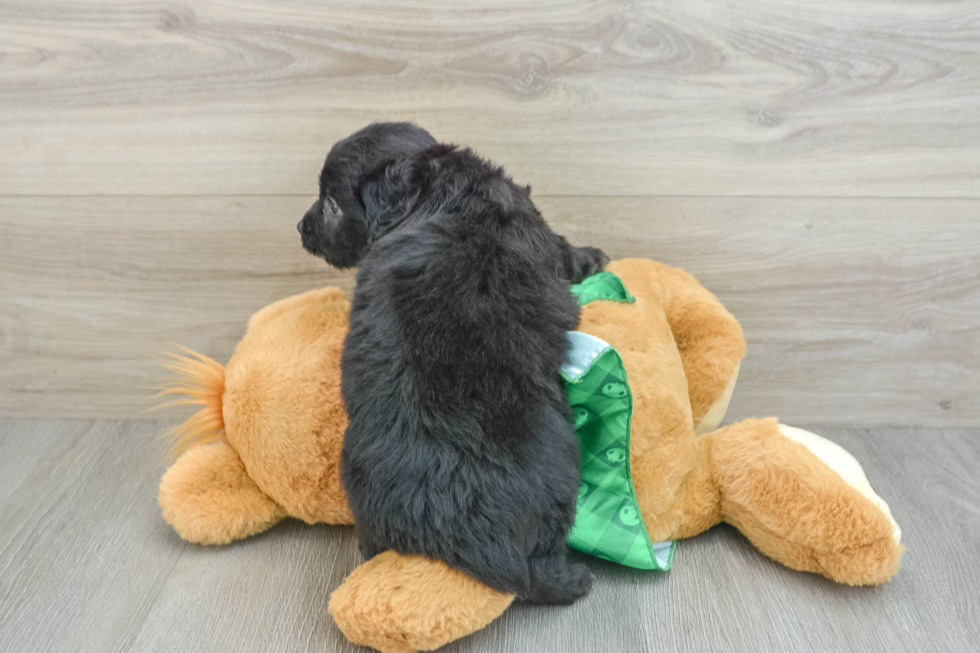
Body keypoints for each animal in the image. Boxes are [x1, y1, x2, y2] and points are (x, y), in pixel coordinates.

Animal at [298, 122, 604, 600]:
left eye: (330, 204)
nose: (300, 227)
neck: (440, 187)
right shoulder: (546, 241)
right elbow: (567, 252)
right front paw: (594, 256)